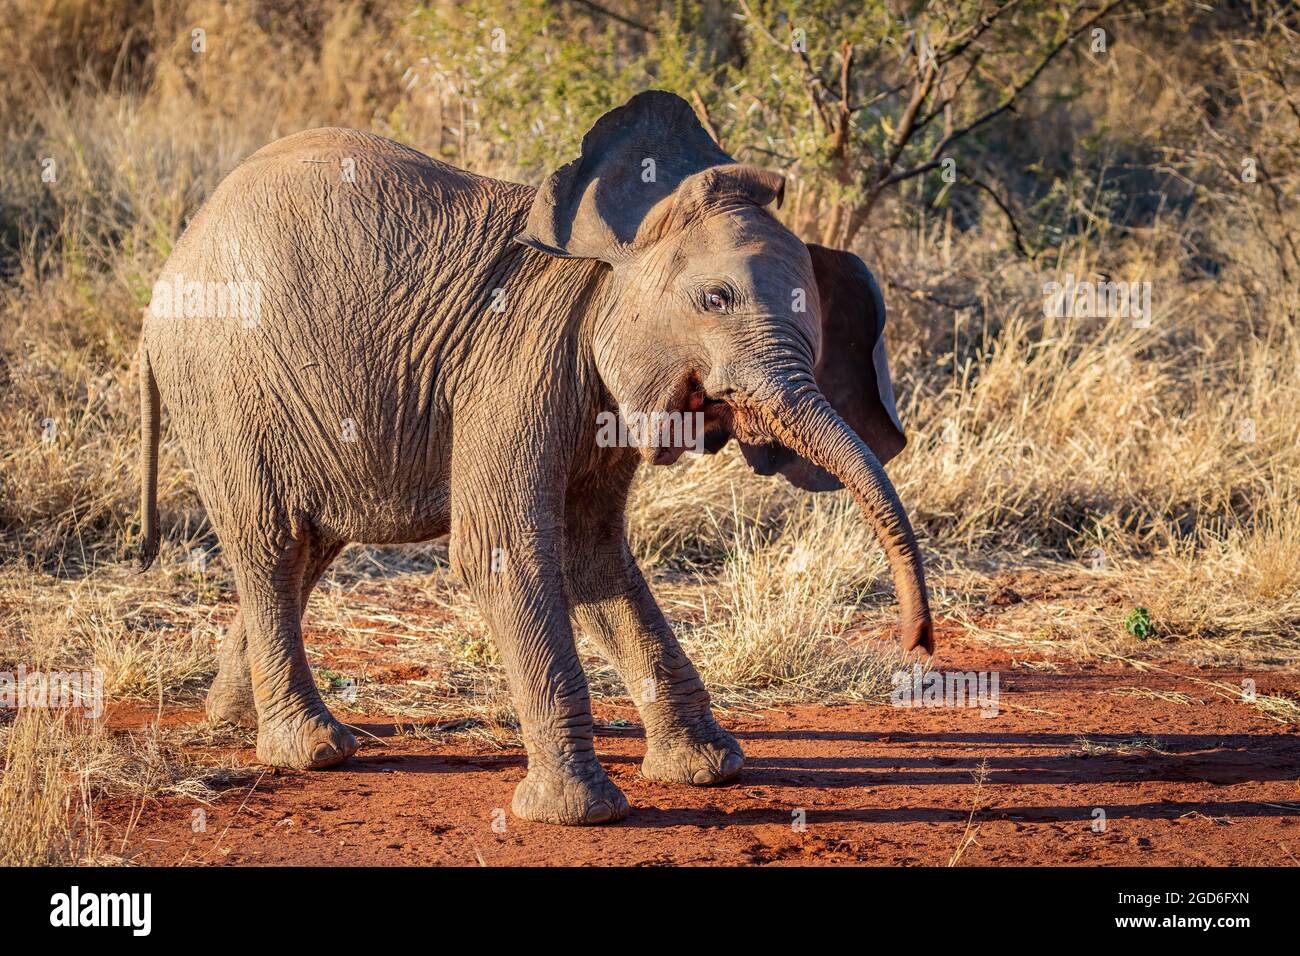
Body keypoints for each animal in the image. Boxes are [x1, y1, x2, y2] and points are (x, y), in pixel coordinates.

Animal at [136, 90, 933, 825]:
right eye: (715, 298)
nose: (919, 643)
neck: (619, 243)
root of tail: (170, 267)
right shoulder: (522, 360)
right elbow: (503, 549)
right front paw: (578, 814)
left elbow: (592, 554)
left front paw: (710, 771)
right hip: (223, 382)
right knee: (271, 543)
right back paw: (314, 751)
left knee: (313, 542)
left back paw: (235, 718)